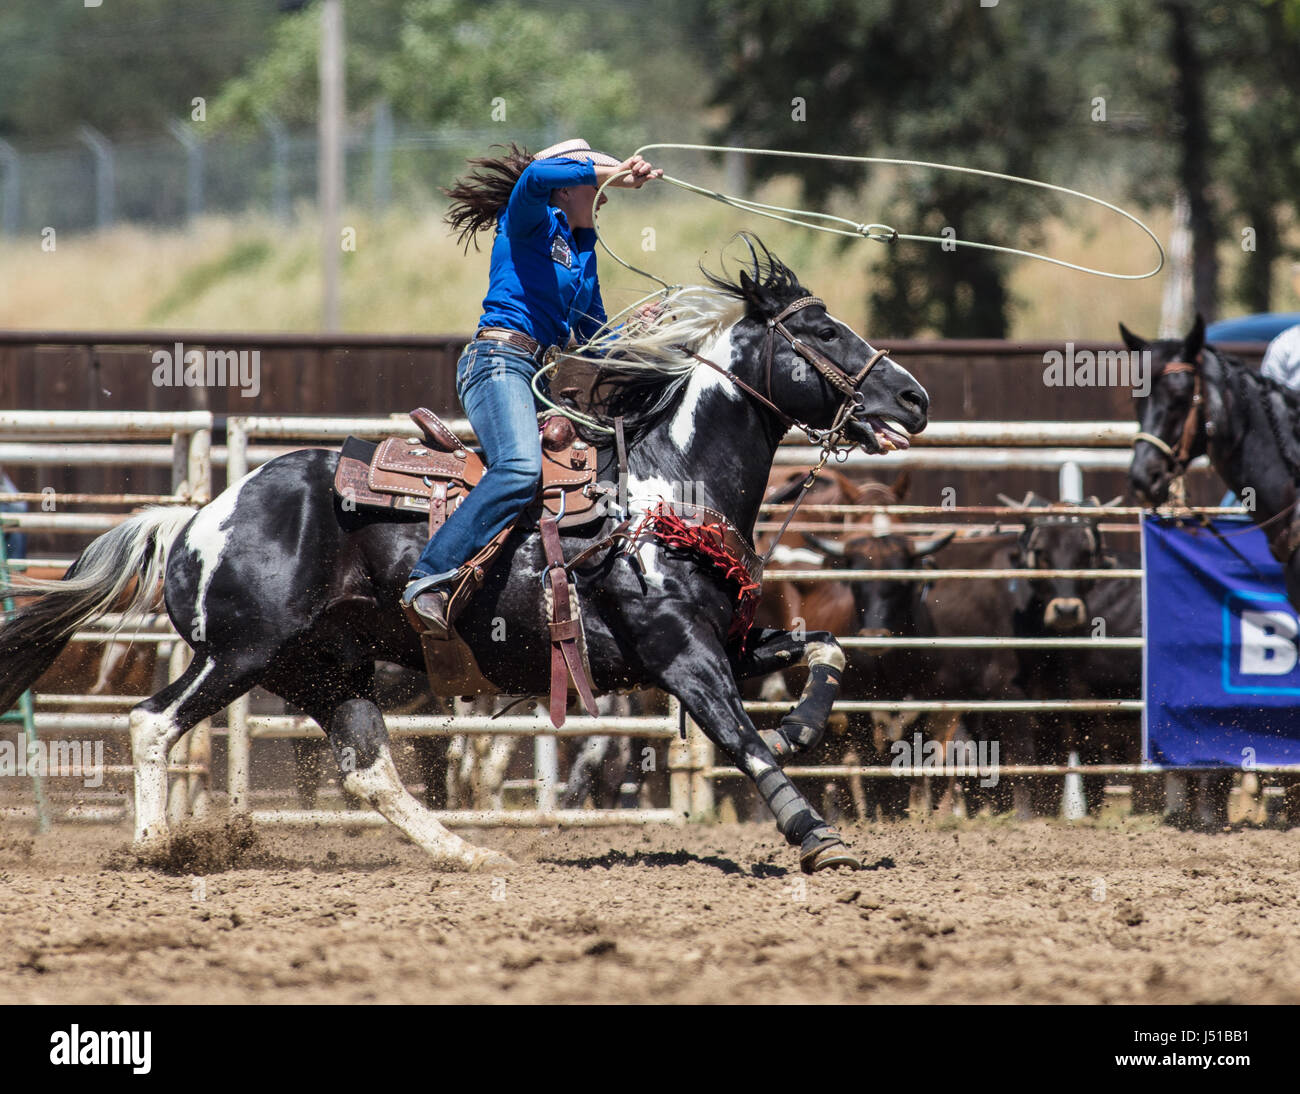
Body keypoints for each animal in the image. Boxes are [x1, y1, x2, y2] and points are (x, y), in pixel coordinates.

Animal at [5, 245, 930, 867]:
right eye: (822, 330)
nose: (915, 397)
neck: (664, 488)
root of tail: (200, 516)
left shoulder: (728, 642)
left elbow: (826, 649)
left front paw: (804, 724)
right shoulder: (682, 656)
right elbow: (739, 736)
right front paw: (816, 836)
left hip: (324, 668)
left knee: (368, 772)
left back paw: (468, 854)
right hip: (240, 652)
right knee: (152, 722)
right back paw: (153, 846)